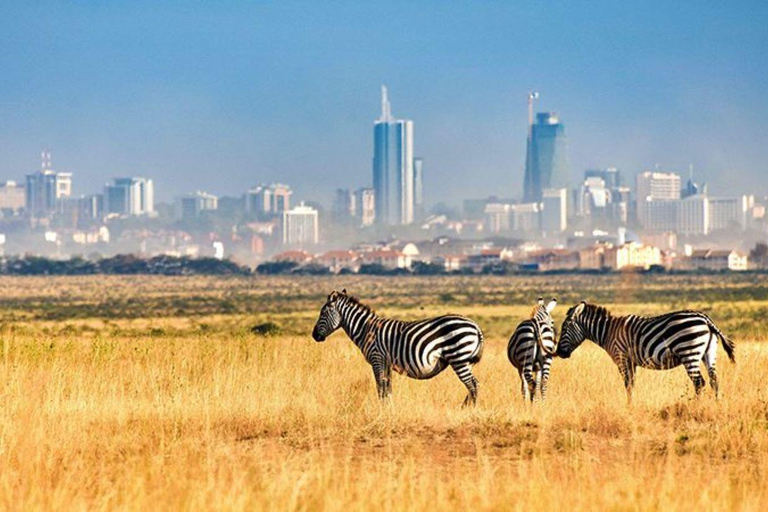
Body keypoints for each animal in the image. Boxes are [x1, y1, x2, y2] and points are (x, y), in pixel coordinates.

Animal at [308, 290, 484, 406]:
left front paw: (382, 410)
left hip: (458, 358)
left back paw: (468, 410)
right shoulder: (386, 363)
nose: (314, 335)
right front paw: (390, 408)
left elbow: (380, 387)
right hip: (464, 360)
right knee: (474, 384)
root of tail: (475, 326)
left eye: (322, 313)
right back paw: (465, 407)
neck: (366, 329)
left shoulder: (377, 359)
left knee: (472, 385)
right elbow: (387, 388)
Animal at [556, 302, 736, 402]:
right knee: (714, 381)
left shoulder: (622, 358)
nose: (559, 353)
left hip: (689, 352)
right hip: (708, 353)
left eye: (564, 329)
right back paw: (716, 406)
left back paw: (695, 407)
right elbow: (632, 384)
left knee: (699, 383)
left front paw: (629, 407)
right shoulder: (631, 361)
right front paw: (632, 405)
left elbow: (627, 384)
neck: (608, 332)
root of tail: (706, 319)